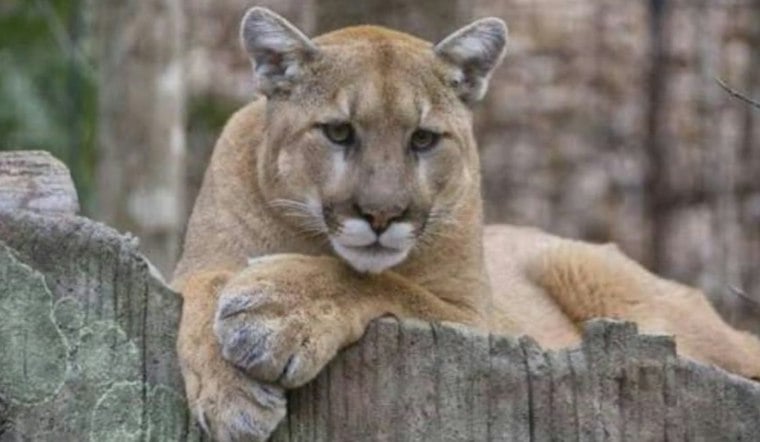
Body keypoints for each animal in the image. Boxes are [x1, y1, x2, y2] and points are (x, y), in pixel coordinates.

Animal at [173, 7, 760, 441]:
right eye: (338, 132)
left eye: (423, 139)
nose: (382, 215)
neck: (309, 238)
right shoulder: (192, 269)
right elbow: (203, 284)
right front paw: (232, 395)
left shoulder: (480, 320)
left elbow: (389, 285)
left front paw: (277, 309)